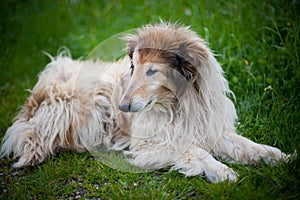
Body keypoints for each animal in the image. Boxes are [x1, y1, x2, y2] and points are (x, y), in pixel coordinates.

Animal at [0, 23, 290, 183]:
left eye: (152, 71)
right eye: (134, 66)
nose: (122, 107)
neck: (179, 104)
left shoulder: (209, 127)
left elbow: (246, 145)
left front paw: (277, 156)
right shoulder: (154, 143)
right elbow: (197, 152)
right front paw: (222, 171)